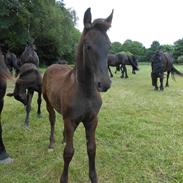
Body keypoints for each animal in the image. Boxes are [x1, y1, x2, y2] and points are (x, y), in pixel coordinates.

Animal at [42, 7, 113, 182]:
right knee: (52, 120)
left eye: (109, 46)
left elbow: (92, 149)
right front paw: (63, 178)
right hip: (47, 102)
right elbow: (68, 152)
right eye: (88, 46)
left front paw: (93, 177)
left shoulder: (92, 120)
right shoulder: (70, 120)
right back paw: (52, 143)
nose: (104, 84)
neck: (84, 91)